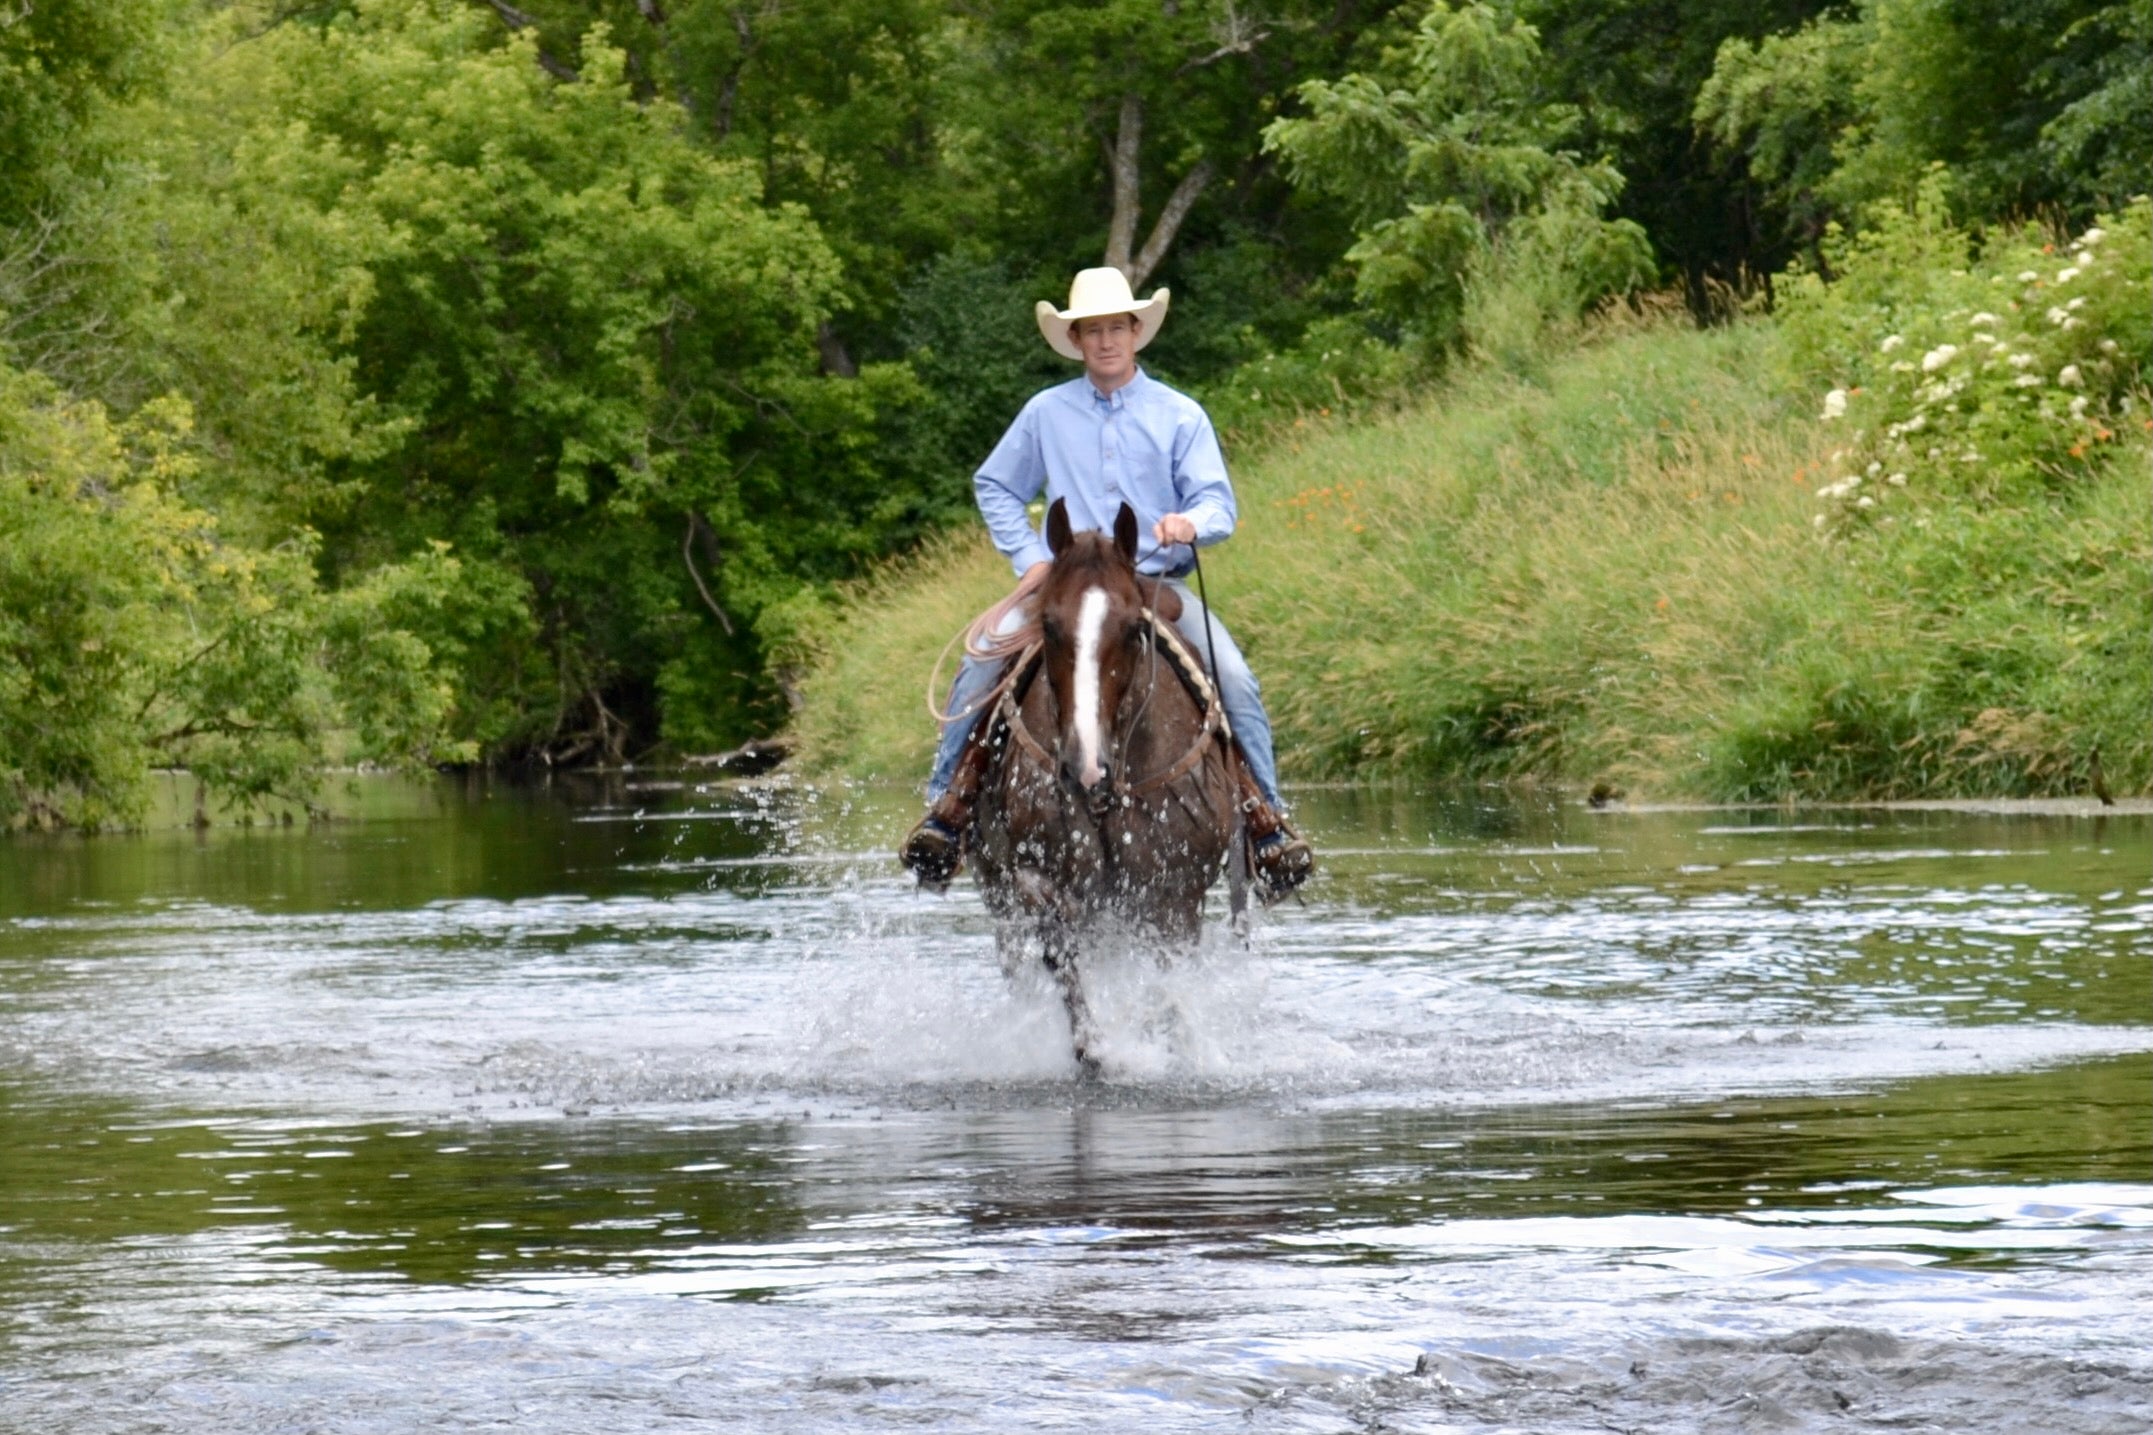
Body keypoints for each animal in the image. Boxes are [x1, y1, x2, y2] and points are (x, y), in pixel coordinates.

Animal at [973, 499, 1257, 1071]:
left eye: (1130, 629)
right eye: (1049, 624)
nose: (1085, 768)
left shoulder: (1175, 891)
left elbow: (1168, 980)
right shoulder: (1037, 876)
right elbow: (1062, 957)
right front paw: (1092, 1049)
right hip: (997, 890)